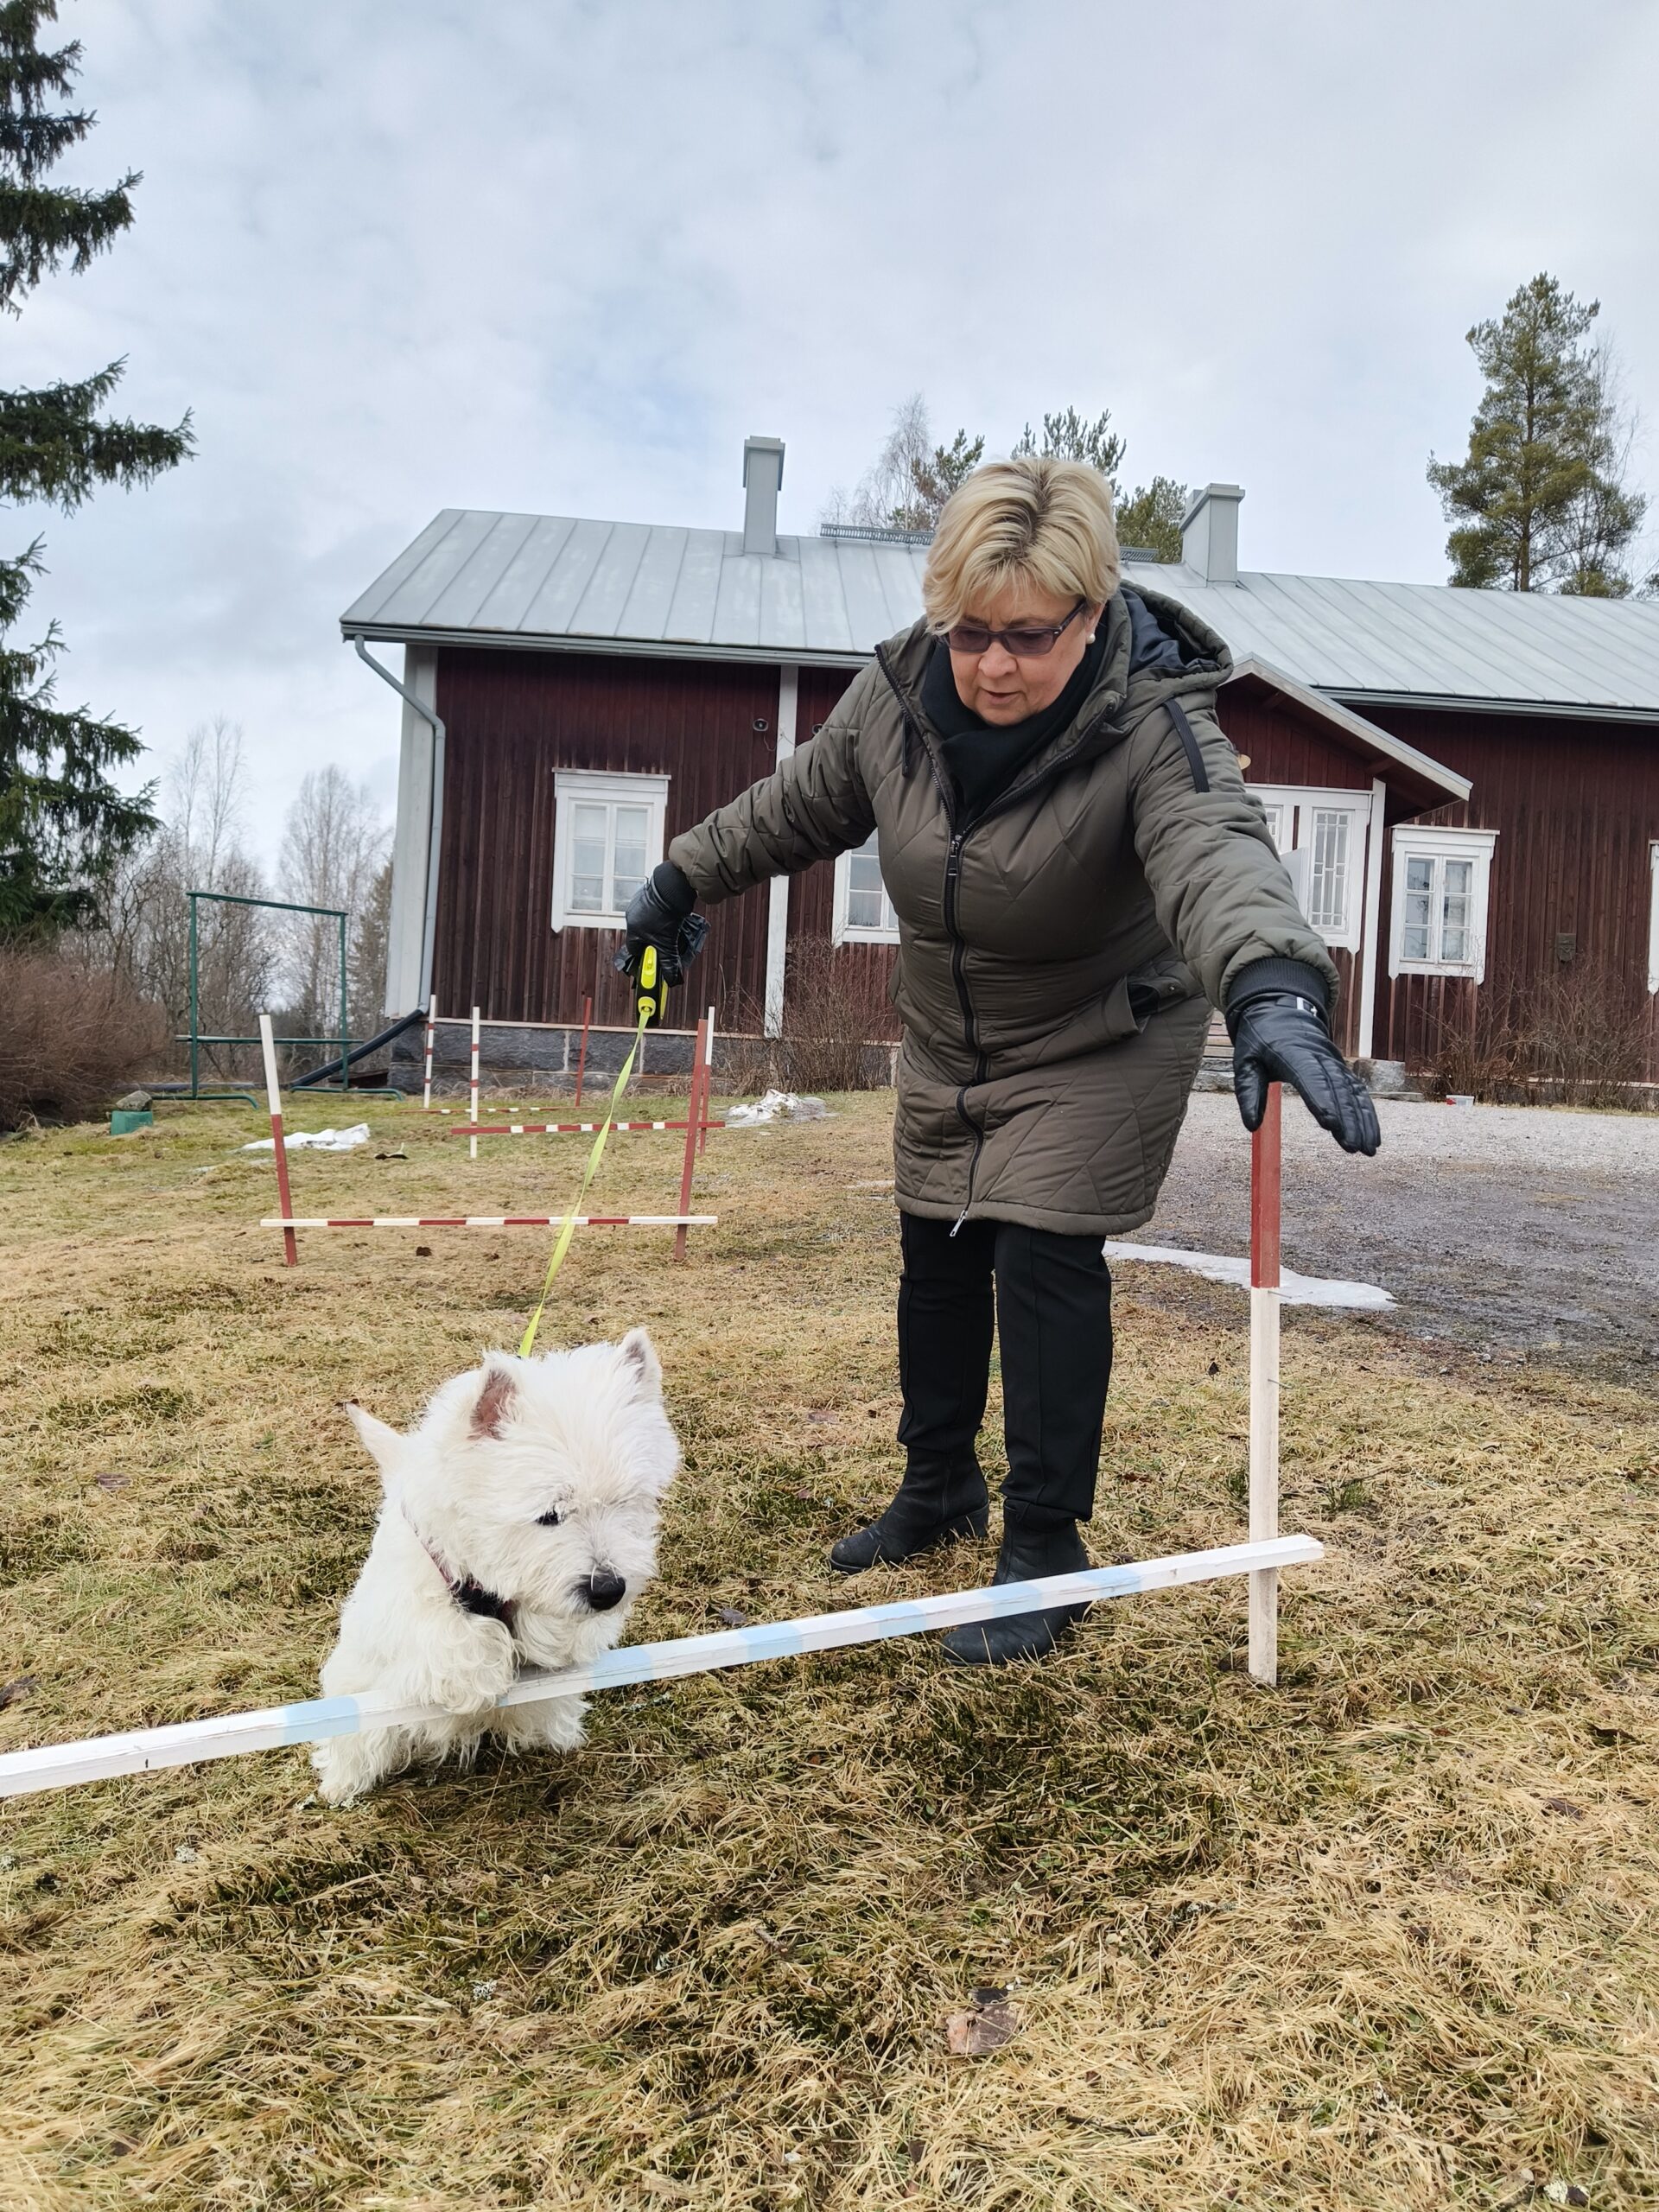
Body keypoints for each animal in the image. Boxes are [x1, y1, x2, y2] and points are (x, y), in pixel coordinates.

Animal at [312, 1329, 677, 1806]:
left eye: (625, 1502)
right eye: (549, 1514)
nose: (607, 1591)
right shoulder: (403, 1605)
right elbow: (447, 1636)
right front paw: (479, 1674)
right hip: (356, 1693)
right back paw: (342, 1784)